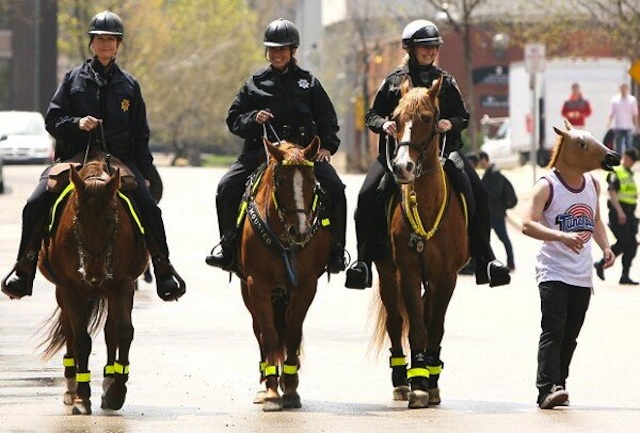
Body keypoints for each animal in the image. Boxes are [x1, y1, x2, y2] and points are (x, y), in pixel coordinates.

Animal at [38, 153, 148, 415]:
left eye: (111, 220)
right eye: (77, 220)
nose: (94, 274)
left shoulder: (123, 285)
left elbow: (123, 332)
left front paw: (117, 391)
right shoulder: (69, 289)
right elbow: (81, 340)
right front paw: (82, 396)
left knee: (110, 331)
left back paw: (108, 382)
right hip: (66, 292)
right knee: (70, 330)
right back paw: (71, 388)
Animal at [237, 137, 331, 411]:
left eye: (311, 181)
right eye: (280, 181)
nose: (300, 231)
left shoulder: (305, 285)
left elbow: (292, 333)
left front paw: (289, 388)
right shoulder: (257, 284)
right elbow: (269, 335)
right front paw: (271, 391)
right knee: (259, 330)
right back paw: (263, 383)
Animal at [371, 76, 469, 409]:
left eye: (427, 118)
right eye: (395, 118)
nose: (403, 167)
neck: (425, 206)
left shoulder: (446, 277)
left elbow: (434, 328)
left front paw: (432, 382)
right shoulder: (408, 274)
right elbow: (416, 328)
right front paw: (417, 386)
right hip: (387, 276)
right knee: (395, 323)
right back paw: (403, 381)